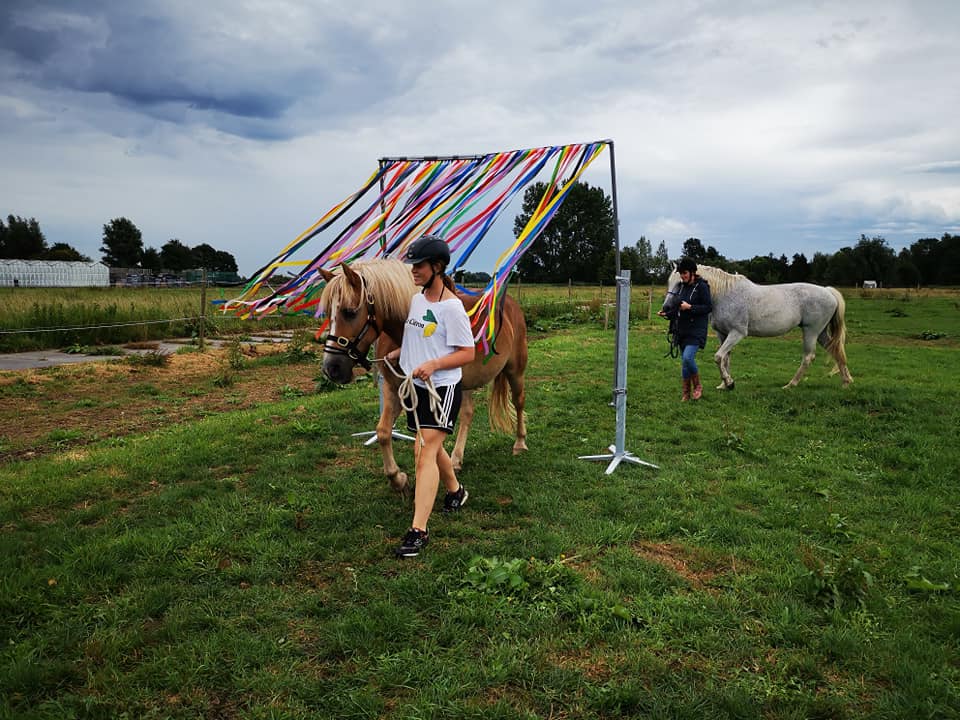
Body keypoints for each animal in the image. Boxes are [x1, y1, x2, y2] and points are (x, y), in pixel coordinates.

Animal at [318, 258, 528, 490]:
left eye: (349, 312)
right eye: (327, 313)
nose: (331, 368)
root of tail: (509, 304)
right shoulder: (394, 388)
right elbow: (383, 431)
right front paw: (398, 478)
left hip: (515, 371)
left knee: (518, 401)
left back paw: (520, 443)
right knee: (468, 413)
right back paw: (456, 458)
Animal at [660, 262, 856, 388]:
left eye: (681, 281)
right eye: (669, 281)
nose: (666, 308)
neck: (724, 295)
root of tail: (828, 291)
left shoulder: (737, 333)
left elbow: (718, 357)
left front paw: (729, 382)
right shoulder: (723, 334)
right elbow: (725, 359)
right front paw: (725, 384)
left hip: (811, 332)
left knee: (808, 357)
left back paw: (791, 384)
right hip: (821, 333)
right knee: (836, 351)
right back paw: (846, 382)